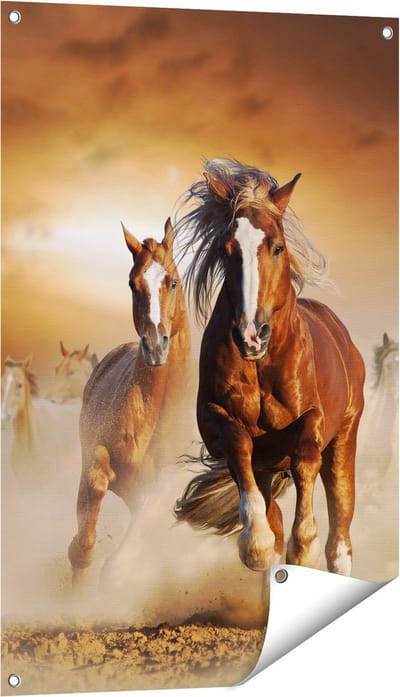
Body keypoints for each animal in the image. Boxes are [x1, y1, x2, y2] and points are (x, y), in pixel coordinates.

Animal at [68, 217, 191, 587]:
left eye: (172, 281)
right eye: (132, 284)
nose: (155, 346)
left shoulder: (158, 487)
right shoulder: (98, 454)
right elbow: (95, 483)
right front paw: (81, 558)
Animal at [174, 158, 365, 575]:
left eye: (277, 247)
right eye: (226, 249)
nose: (250, 335)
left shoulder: (313, 419)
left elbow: (306, 455)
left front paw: (304, 546)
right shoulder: (215, 421)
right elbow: (238, 442)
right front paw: (256, 545)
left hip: (344, 441)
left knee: (340, 539)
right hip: (267, 468)